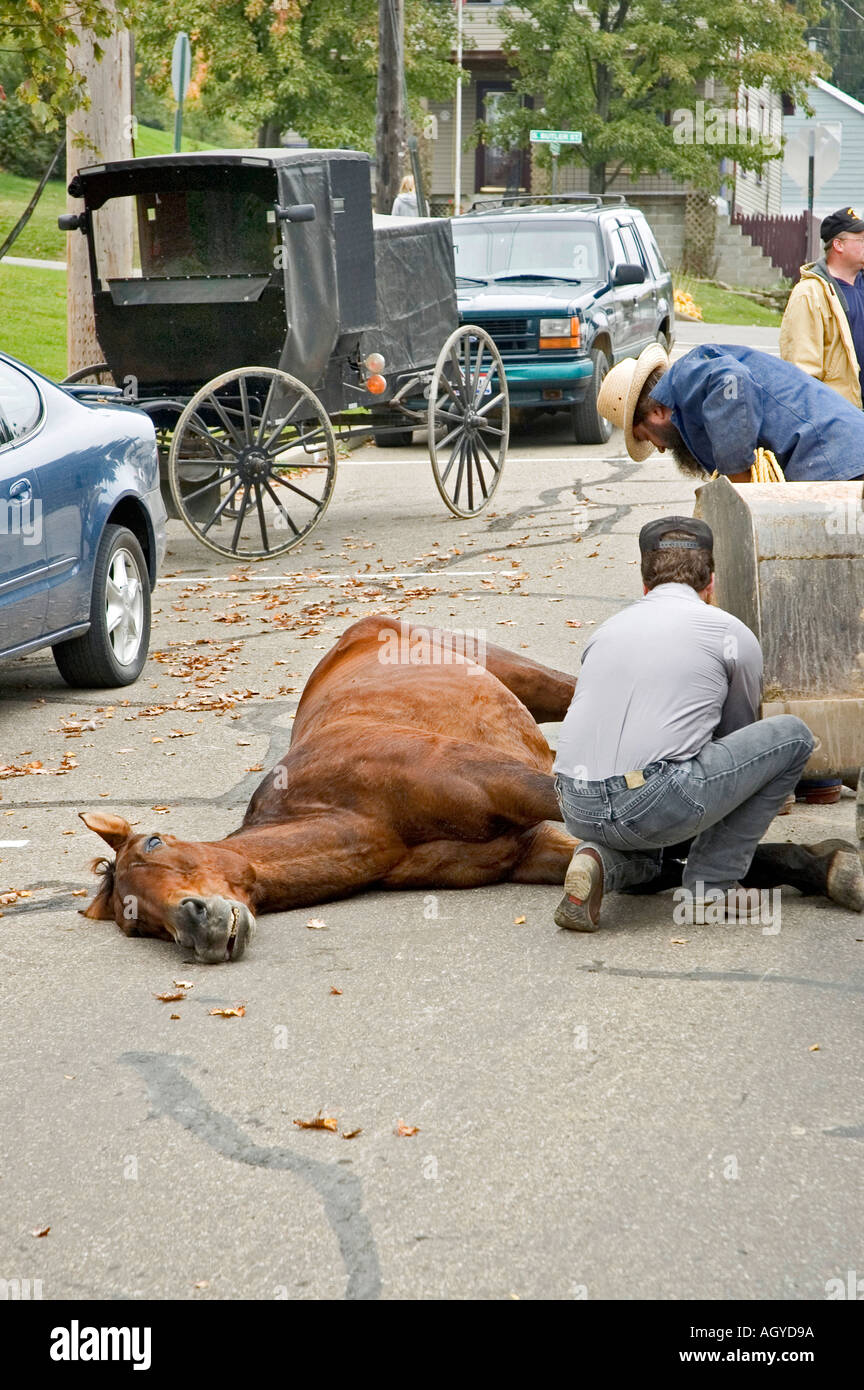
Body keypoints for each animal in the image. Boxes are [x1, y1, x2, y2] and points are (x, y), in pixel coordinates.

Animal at [81, 614, 864, 961]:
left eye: (155, 842)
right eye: (133, 919)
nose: (196, 924)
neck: (360, 811)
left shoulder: (516, 786)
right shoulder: (536, 848)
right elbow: (680, 856)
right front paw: (830, 868)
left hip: (538, 681)